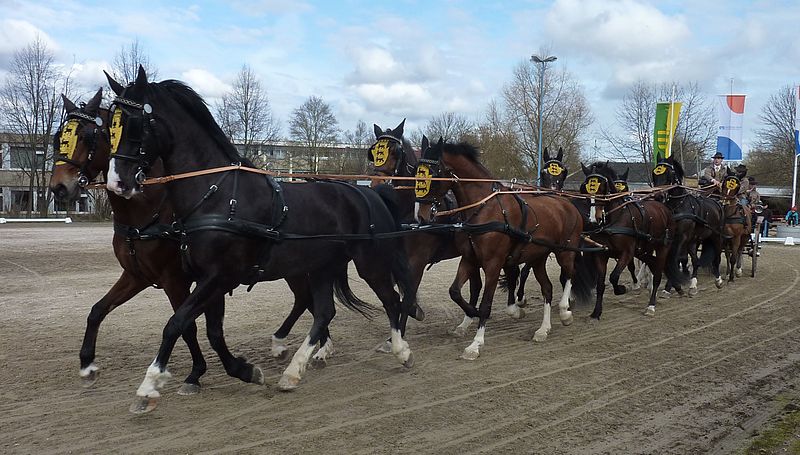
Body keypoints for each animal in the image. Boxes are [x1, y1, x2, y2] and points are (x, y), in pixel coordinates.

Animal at [103, 67, 416, 414]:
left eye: (134, 123)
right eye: (108, 124)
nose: (117, 182)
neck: (219, 194)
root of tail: (371, 193)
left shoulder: (219, 277)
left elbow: (176, 323)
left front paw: (149, 384)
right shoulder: (207, 279)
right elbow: (213, 332)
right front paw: (243, 370)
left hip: (370, 263)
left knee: (392, 300)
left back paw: (401, 351)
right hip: (322, 266)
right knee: (324, 312)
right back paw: (293, 372)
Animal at [412, 136, 592, 360]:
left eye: (434, 173)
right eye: (416, 171)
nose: (422, 216)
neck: (485, 209)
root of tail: (565, 202)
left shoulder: (493, 264)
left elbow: (486, 303)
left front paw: (476, 344)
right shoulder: (469, 260)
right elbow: (455, 291)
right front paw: (472, 315)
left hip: (565, 251)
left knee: (569, 275)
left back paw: (565, 311)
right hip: (538, 257)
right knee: (547, 289)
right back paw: (543, 329)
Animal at [576, 163, 688, 318]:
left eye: (603, 187)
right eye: (584, 188)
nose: (593, 219)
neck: (614, 218)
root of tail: (664, 208)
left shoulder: (627, 253)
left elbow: (614, 276)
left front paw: (621, 289)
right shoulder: (601, 254)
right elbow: (600, 283)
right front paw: (596, 312)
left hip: (663, 247)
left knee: (658, 273)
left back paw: (651, 305)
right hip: (643, 249)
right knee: (653, 264)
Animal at [648, 156, 724, 292]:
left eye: (669, 174)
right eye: (654, 173)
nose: (658, 196)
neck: (678, 205)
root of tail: (716, 201)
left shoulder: (683, 236)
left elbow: (677, 258)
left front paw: (674, 283)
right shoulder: (672, 238)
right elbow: (674, 259)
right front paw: (672, 284)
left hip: (716, 236)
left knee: (717, 257)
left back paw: (718, 280)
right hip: (694, 239)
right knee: (695, 260)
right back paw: (693, 283)